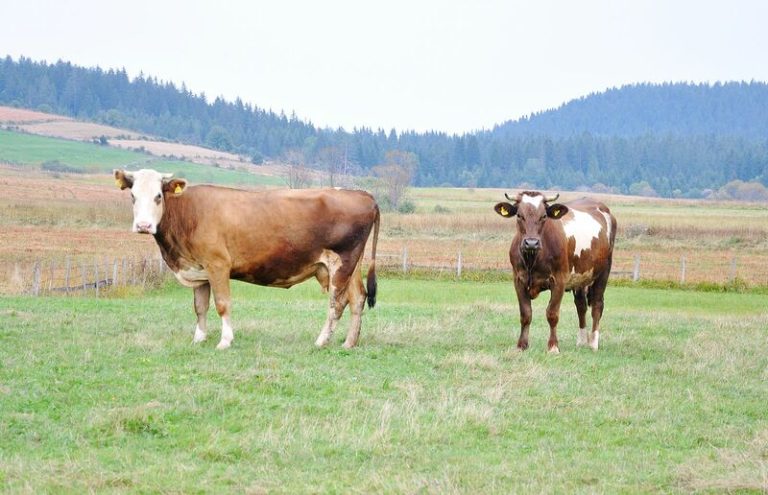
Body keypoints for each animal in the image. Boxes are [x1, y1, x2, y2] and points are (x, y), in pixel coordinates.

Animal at [114, 168, 380, 350]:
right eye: (133, 196)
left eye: (159, 195)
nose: (144, 225)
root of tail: (362, 194)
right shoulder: (199, 269)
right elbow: (200, 307)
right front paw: (199, 338)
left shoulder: (218, 264)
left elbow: (222, 304)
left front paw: (224, 341)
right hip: (352, 265)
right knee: (357, 298)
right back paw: (349, 343)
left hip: (341, 263)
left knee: (337, 303)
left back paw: (322, 340)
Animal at [494, 191, 616, 353]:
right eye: (519, 215)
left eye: (544, 216)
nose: (531, 243)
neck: (533, 258)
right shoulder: (518, 280)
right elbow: (525, 314)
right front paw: (521, 345)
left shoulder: (559, 281)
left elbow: (552, 314)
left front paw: (553, 347)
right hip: (579, 277)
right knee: (581, 306)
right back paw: (582, 341)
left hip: (603, 271)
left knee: (597, 305)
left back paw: (593, 343)